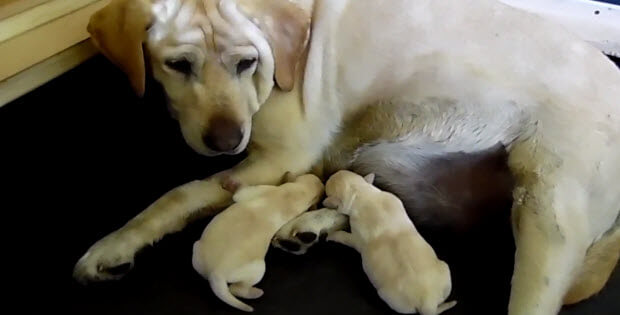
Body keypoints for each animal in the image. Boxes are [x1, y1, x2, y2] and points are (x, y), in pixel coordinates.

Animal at [191, 174, 322, 312]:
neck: (298, 194)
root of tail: (216, 274)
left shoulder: (253, 191)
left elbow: (239, 192)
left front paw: (231, 183)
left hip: (257, 269)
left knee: (236, 289)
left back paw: (254, 293)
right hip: (197, 251)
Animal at [324, 170, 456, 315]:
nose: (330, 175)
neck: (362, 194)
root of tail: (428, 302)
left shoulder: (356, 238)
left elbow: (344, 237)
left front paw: (332, 235)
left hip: (389, 298)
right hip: (445, 271)